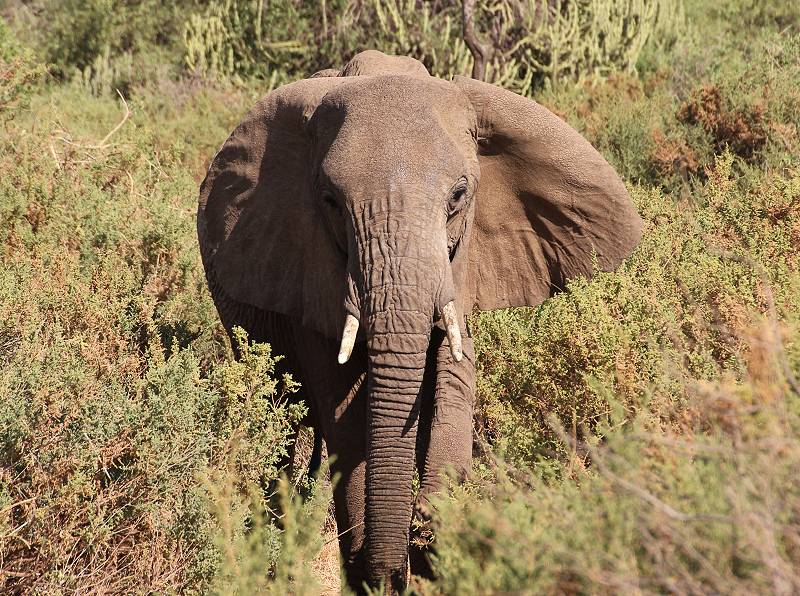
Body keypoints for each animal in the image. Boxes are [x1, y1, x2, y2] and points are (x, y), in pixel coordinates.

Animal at [197, 50, 640, 592]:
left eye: (458, 195)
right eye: (330, 201)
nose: (398, 569)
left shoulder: (465, 262)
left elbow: (455, 376)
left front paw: (431, 527)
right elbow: (345, 414)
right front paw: (376, 567)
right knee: (283, 425)